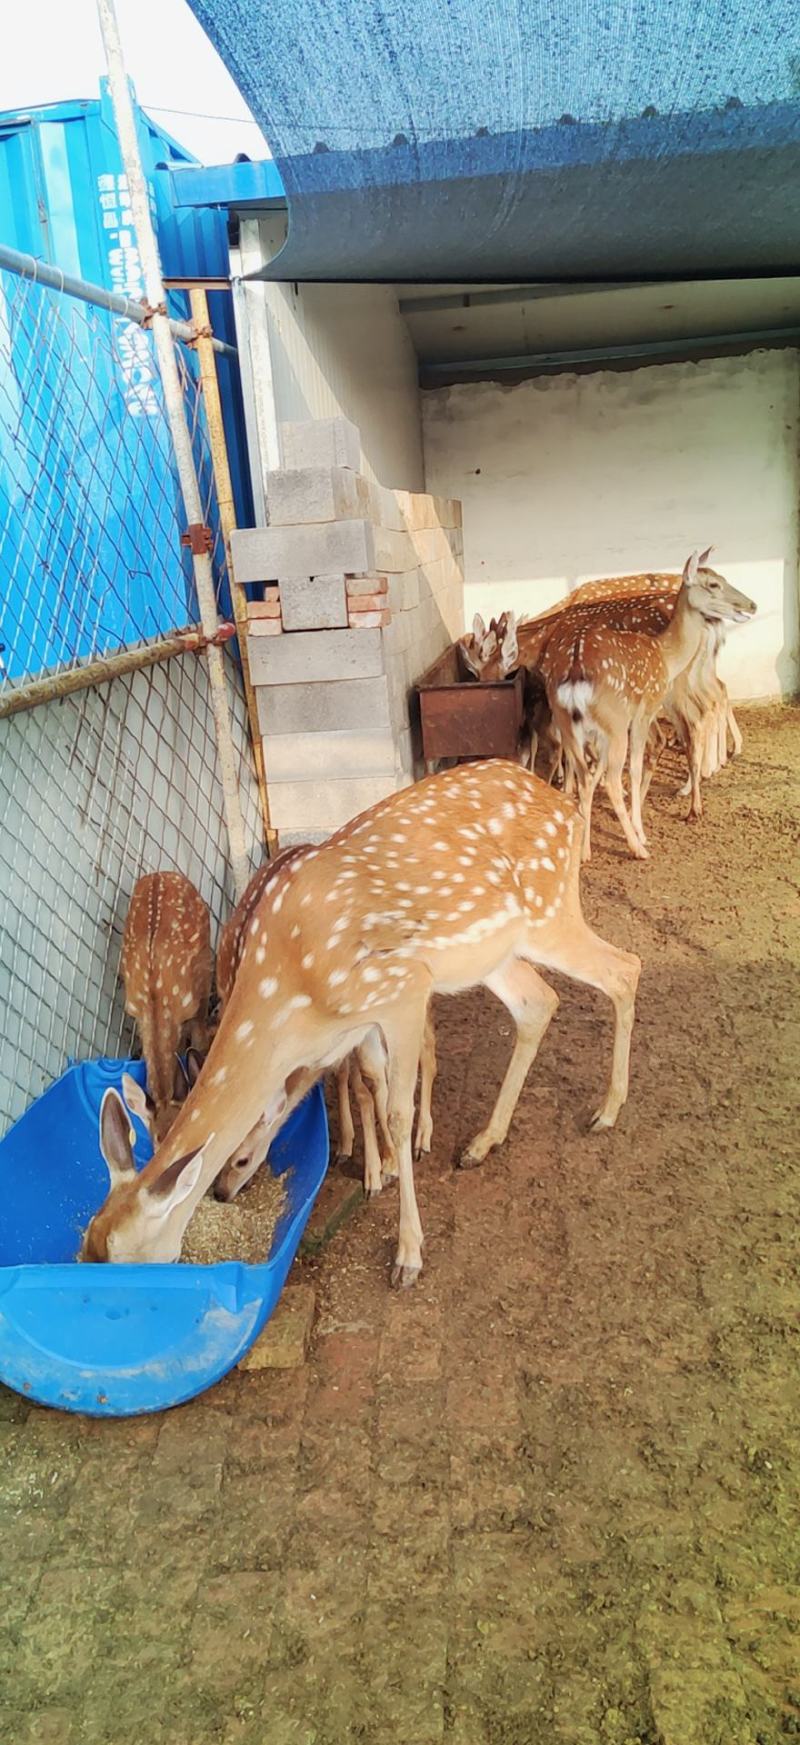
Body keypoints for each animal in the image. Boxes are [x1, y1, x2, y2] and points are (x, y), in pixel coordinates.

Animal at [212, 852, 437, 1203]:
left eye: (241, 1159)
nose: (220, 1193)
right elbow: (354, 1078)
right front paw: (354, 1150)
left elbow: (370, 1084)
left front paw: (379, 1170)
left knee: (427, 1043)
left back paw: (422, 1137)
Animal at [546, 550, 756, 860]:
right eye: (714, 584)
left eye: (723, 577)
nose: (752, 604)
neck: (665, 654)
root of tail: (574, 673)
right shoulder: (642, 713)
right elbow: (633, 769)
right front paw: (641, 833)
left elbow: (594, 776)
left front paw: (587, 846)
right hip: (615, 722)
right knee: (613, 778)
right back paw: (639, 847)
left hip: (568, 724)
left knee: (584, 778)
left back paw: (585, 852)